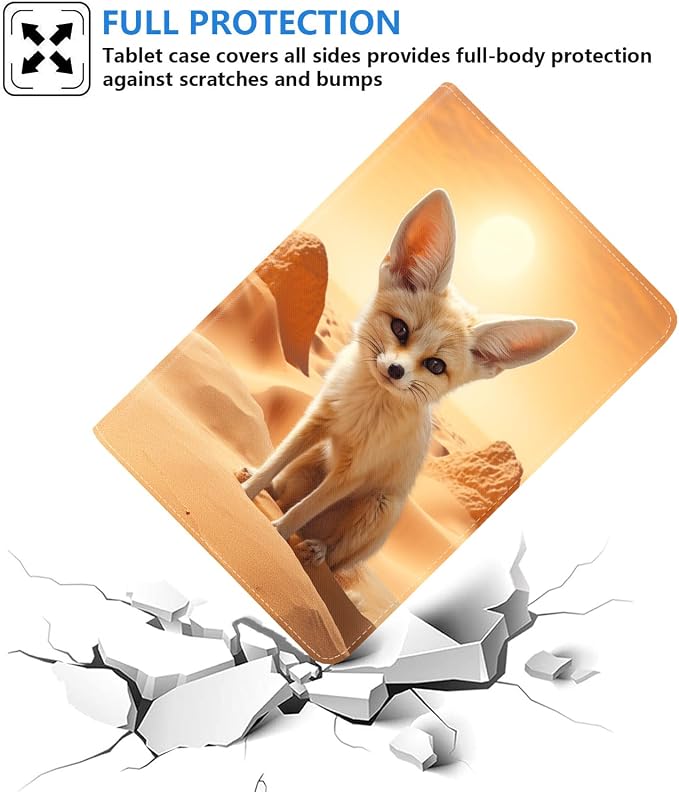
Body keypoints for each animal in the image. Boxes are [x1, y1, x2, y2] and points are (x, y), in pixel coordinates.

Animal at [241, 189, 576, 574]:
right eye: (400, 329)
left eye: (435, 365)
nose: (395, 371)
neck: (365, 408)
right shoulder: (316, 422)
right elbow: (275, 462)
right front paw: (249, 492)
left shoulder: (353, 474)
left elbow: (303, 510)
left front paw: (275, 533)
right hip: (313, 460)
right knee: (286, 492)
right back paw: (268, 493)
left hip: (381, 508)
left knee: (336, 558)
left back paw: (316, 551)